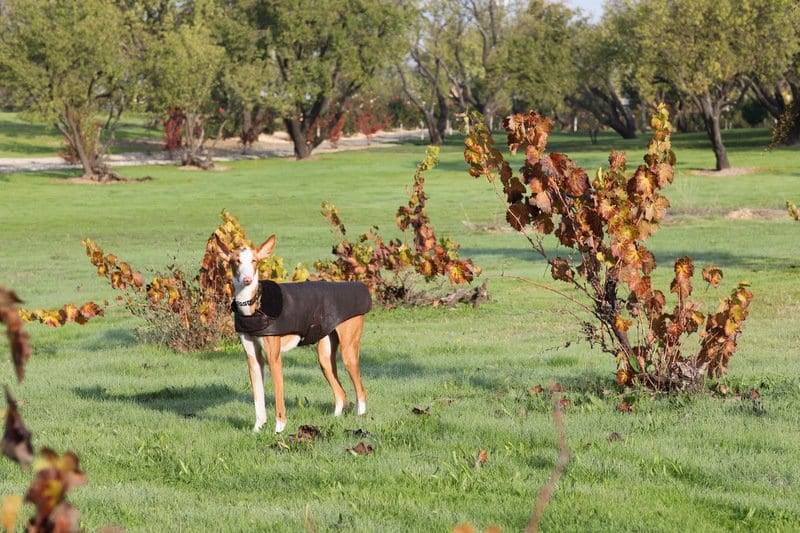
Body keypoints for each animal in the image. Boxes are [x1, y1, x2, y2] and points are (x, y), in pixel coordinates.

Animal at [217, 234, 370, 432]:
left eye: (254, 261)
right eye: (236, 261)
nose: (247, 280)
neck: (254, 304)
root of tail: (359, 286)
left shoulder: (274, 358)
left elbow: (278, 395)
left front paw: (279, 429)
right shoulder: (253, 359)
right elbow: (258, 398)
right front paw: (257, 429)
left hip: (348, 353)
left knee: (361, 390)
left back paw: (361, 417)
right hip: (324, 357)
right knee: (341, 393)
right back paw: (334, 419)